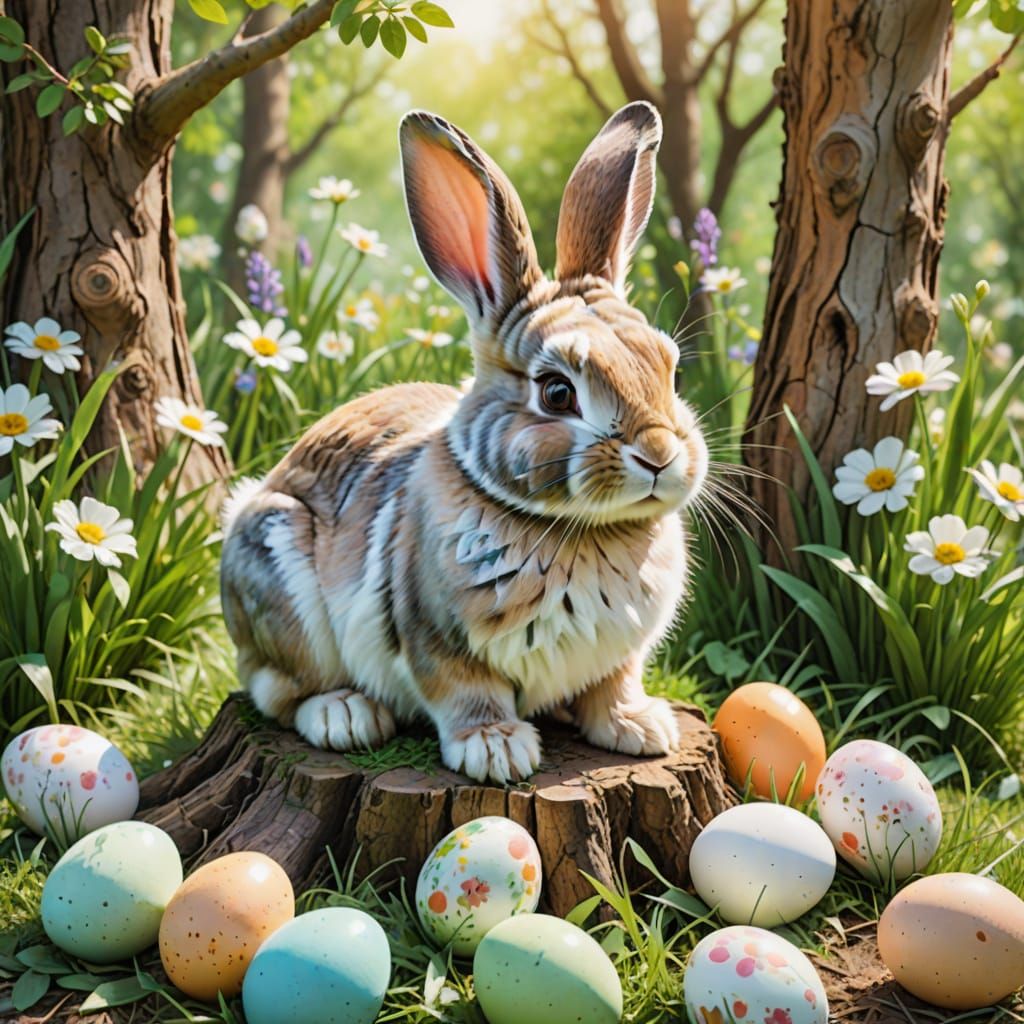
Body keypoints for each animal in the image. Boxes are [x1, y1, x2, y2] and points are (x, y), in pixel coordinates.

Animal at [220, 100, 709, 785]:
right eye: (557, 393)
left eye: (672, 371)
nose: (661, 456)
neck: (580, 531)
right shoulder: (438, 641)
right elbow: (466, 693)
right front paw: (497, 751)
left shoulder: (618, 657)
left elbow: (611, 688)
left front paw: (640, 728)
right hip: (276, 566)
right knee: (277, 687)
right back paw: (345, 716)